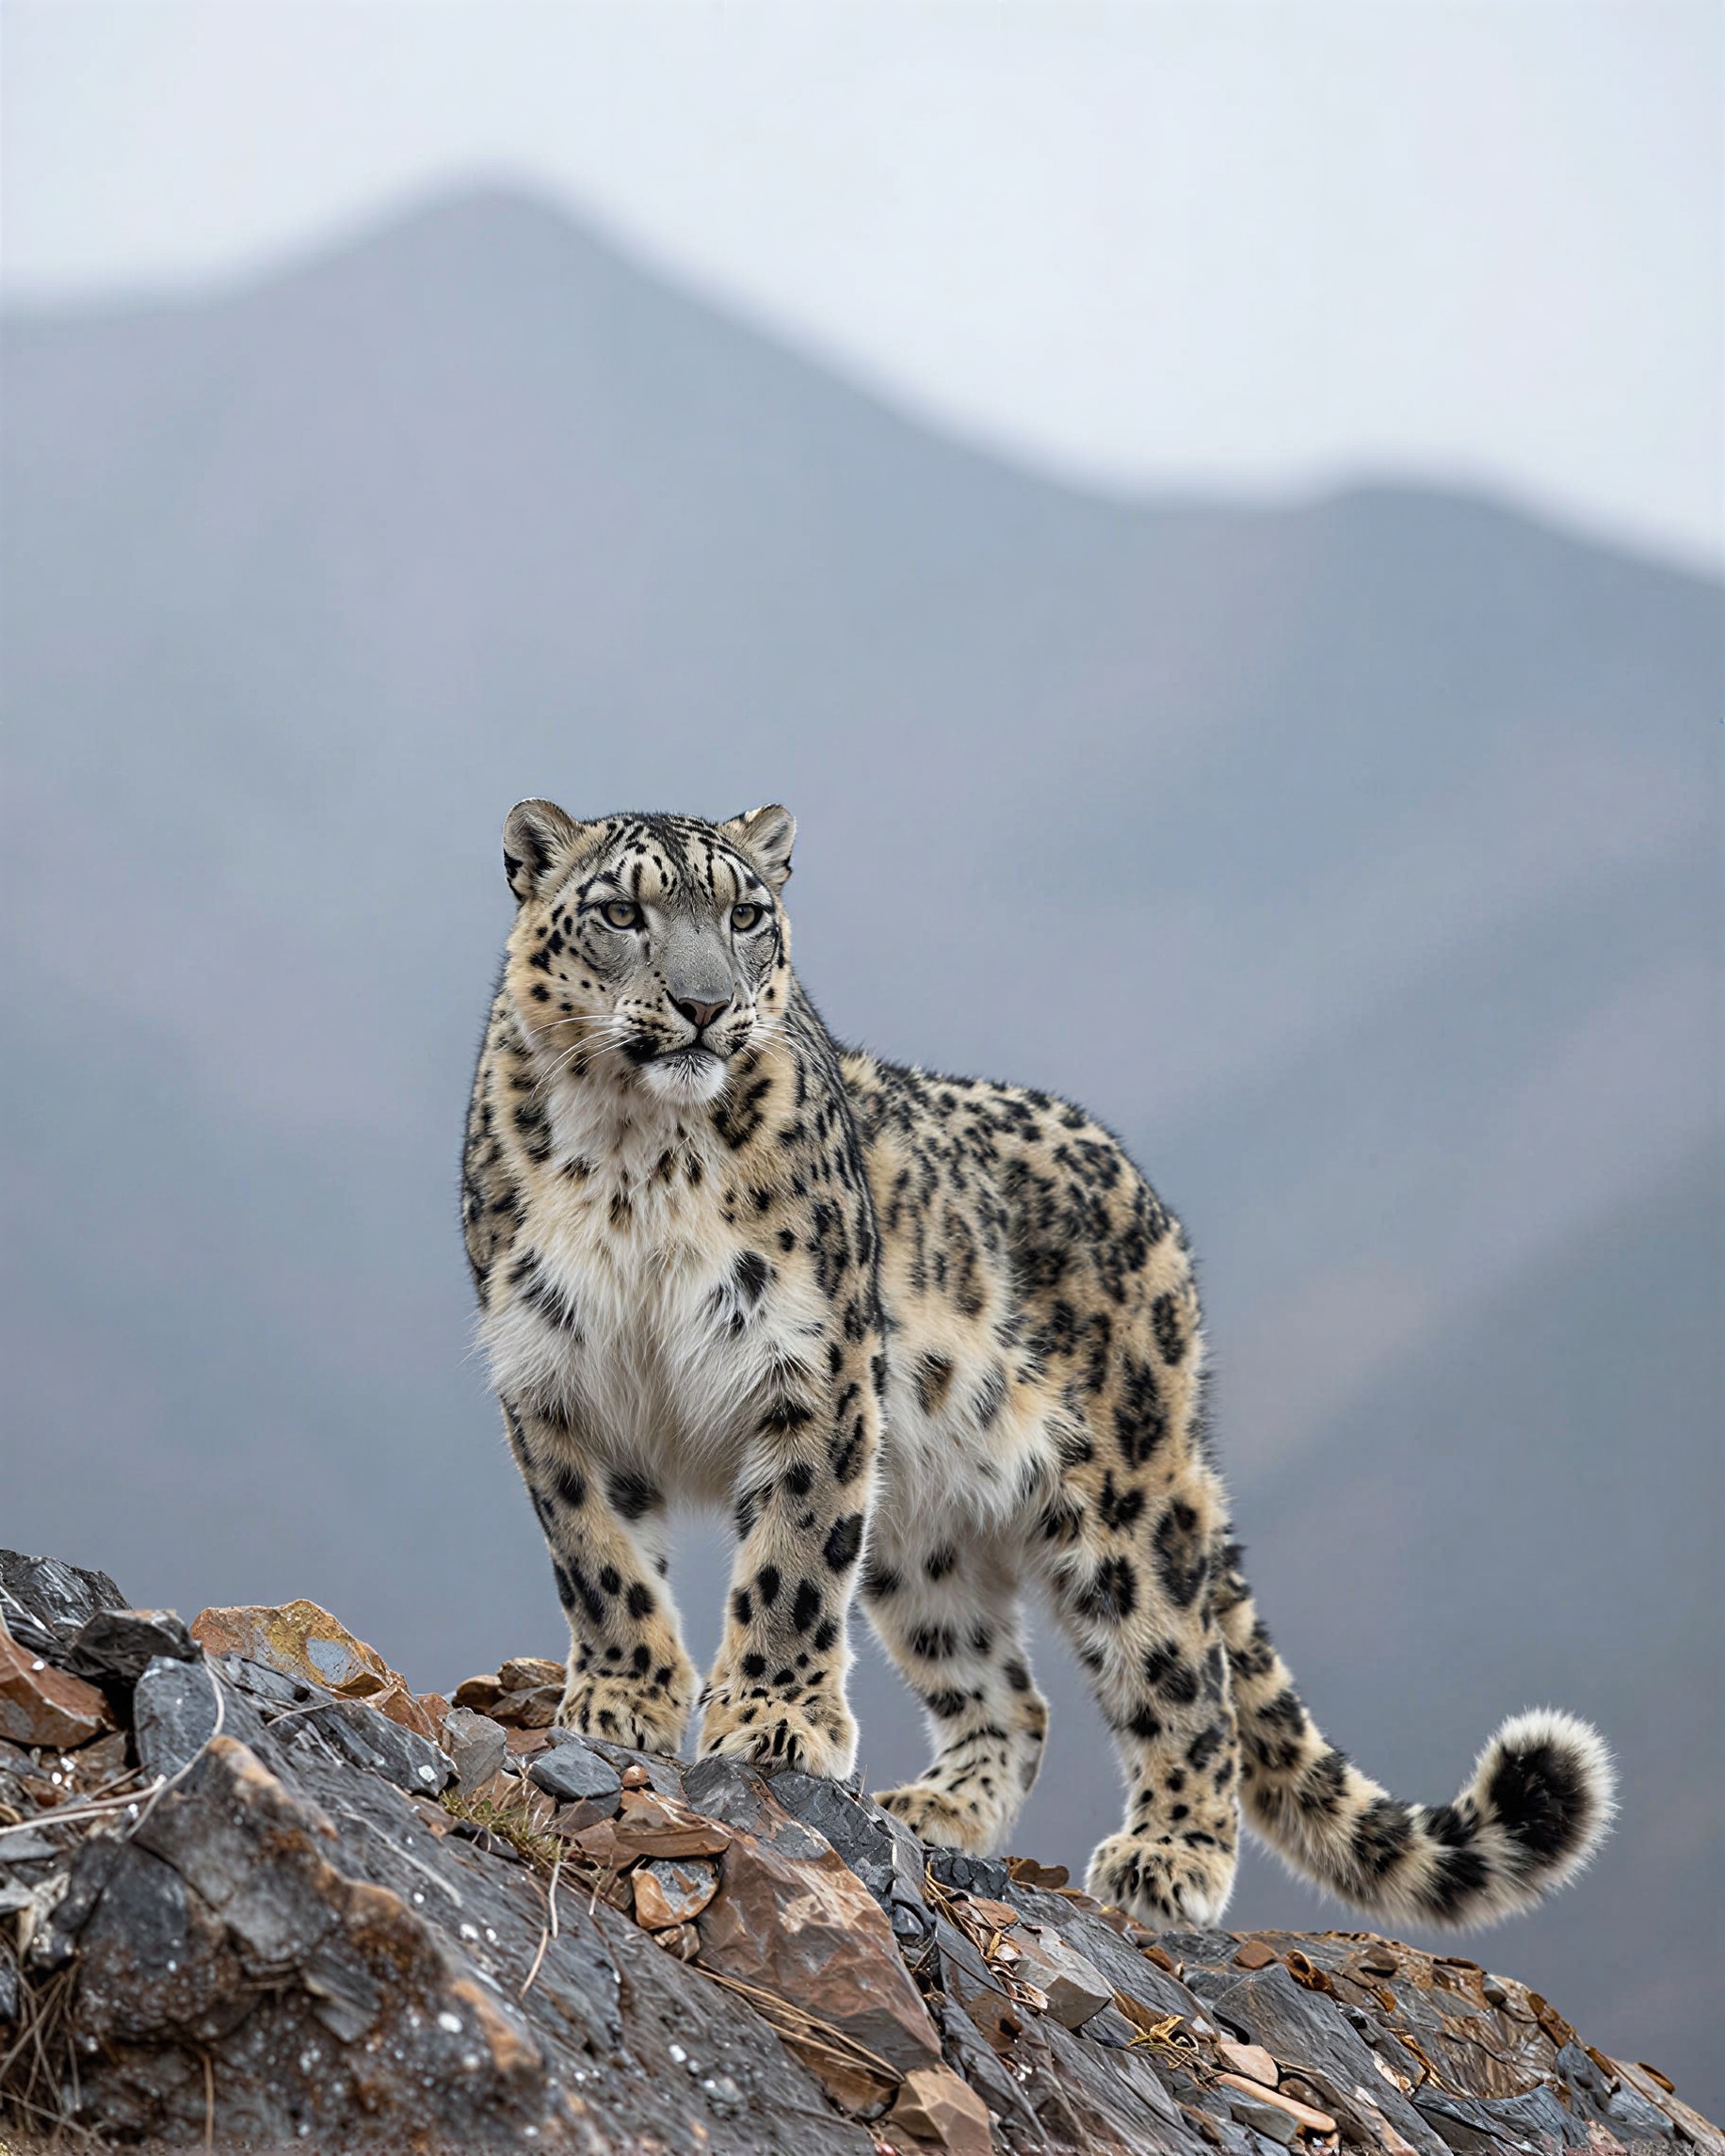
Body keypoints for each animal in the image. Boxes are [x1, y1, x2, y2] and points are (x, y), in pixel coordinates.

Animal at [461, 799, 1615, 1929]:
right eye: (622, 912)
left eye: (745, 915)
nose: (704, 1006)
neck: (635, 1157)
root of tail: (1155, 1212)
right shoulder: (554, 1378)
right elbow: (599, 1559)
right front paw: (625, 1697)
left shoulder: (813, 1370)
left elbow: (791, 1562)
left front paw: (774, 1719)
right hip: (919, 1536)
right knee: (1010, 1694)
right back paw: (934, 1807)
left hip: (1124, 1497)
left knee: (1186, 1677)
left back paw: (1168, 1856)